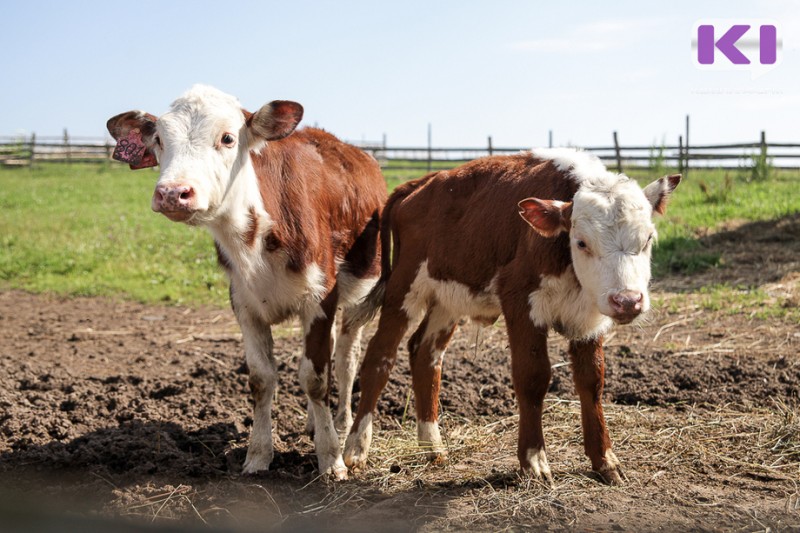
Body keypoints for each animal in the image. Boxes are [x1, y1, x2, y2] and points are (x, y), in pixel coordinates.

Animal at [107, 84, 388, 478]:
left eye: (227, 138)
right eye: (159, 139)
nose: (173, 192)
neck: (255, 240)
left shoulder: (321, 298)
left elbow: (316, 378)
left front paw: (331, 457)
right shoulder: (243, 303)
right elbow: (261, 378)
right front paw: (258, 453)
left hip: (362, 295)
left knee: (348, 361)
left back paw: (349, 433)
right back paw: (316, 423)